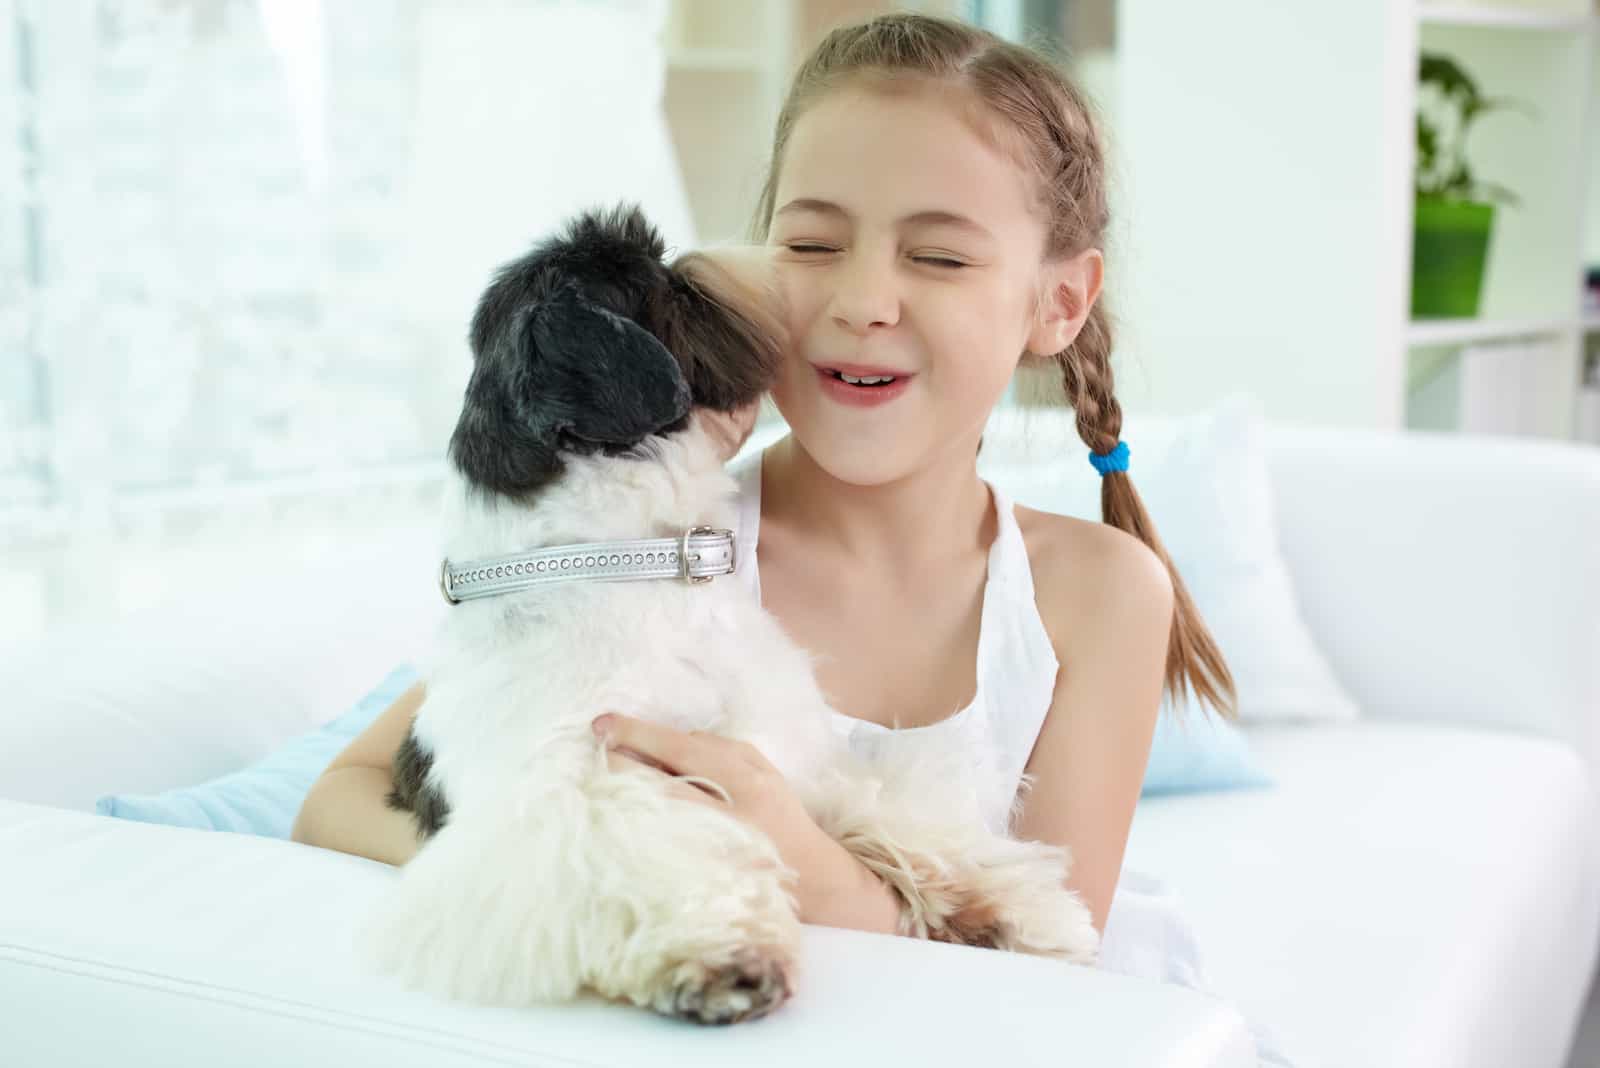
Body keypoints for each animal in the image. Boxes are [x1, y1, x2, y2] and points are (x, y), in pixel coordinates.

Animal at [353, 202, 1100, 1023]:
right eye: (664, 286)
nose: (730, 263)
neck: (628, 563)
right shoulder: (574, 791)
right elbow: (649, 854)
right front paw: (719, 955)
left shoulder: (790, 759)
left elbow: (886, 807)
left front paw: (1010, 902)